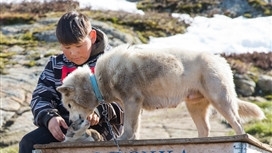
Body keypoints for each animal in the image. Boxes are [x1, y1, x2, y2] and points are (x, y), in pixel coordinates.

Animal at [56, 44, 264, 140]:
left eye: (69, 104)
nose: (71, 122)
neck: (98, 80)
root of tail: (220, 59)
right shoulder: (134, 106)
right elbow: (135, 127)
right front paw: (133, 140)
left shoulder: (132, 101)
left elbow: (129, 126)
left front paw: (123, 139)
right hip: (195, 105)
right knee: (205, 128)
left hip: (220, 98)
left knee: (237, 122)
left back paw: (240, 136)